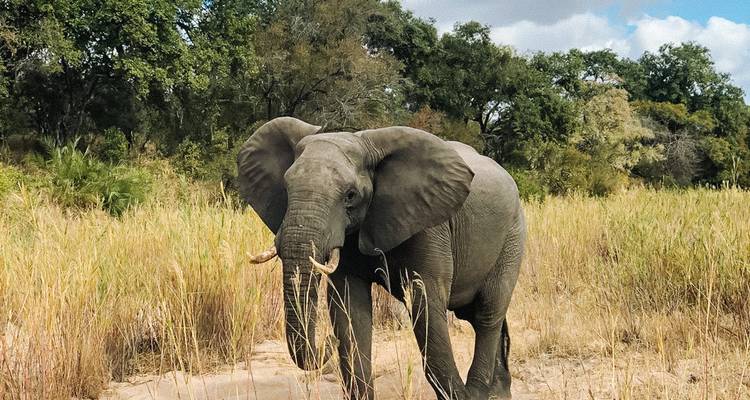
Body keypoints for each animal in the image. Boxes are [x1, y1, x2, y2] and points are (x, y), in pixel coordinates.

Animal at [238, 117, 526, 400]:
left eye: (350, 195)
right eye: (286, 189)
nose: (327, 341)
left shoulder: (430, 226)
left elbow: (426, 304)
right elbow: (349, 310)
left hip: (512, 236)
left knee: (488, 312)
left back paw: (481, 392)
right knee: (477, 315)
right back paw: (499, 392)